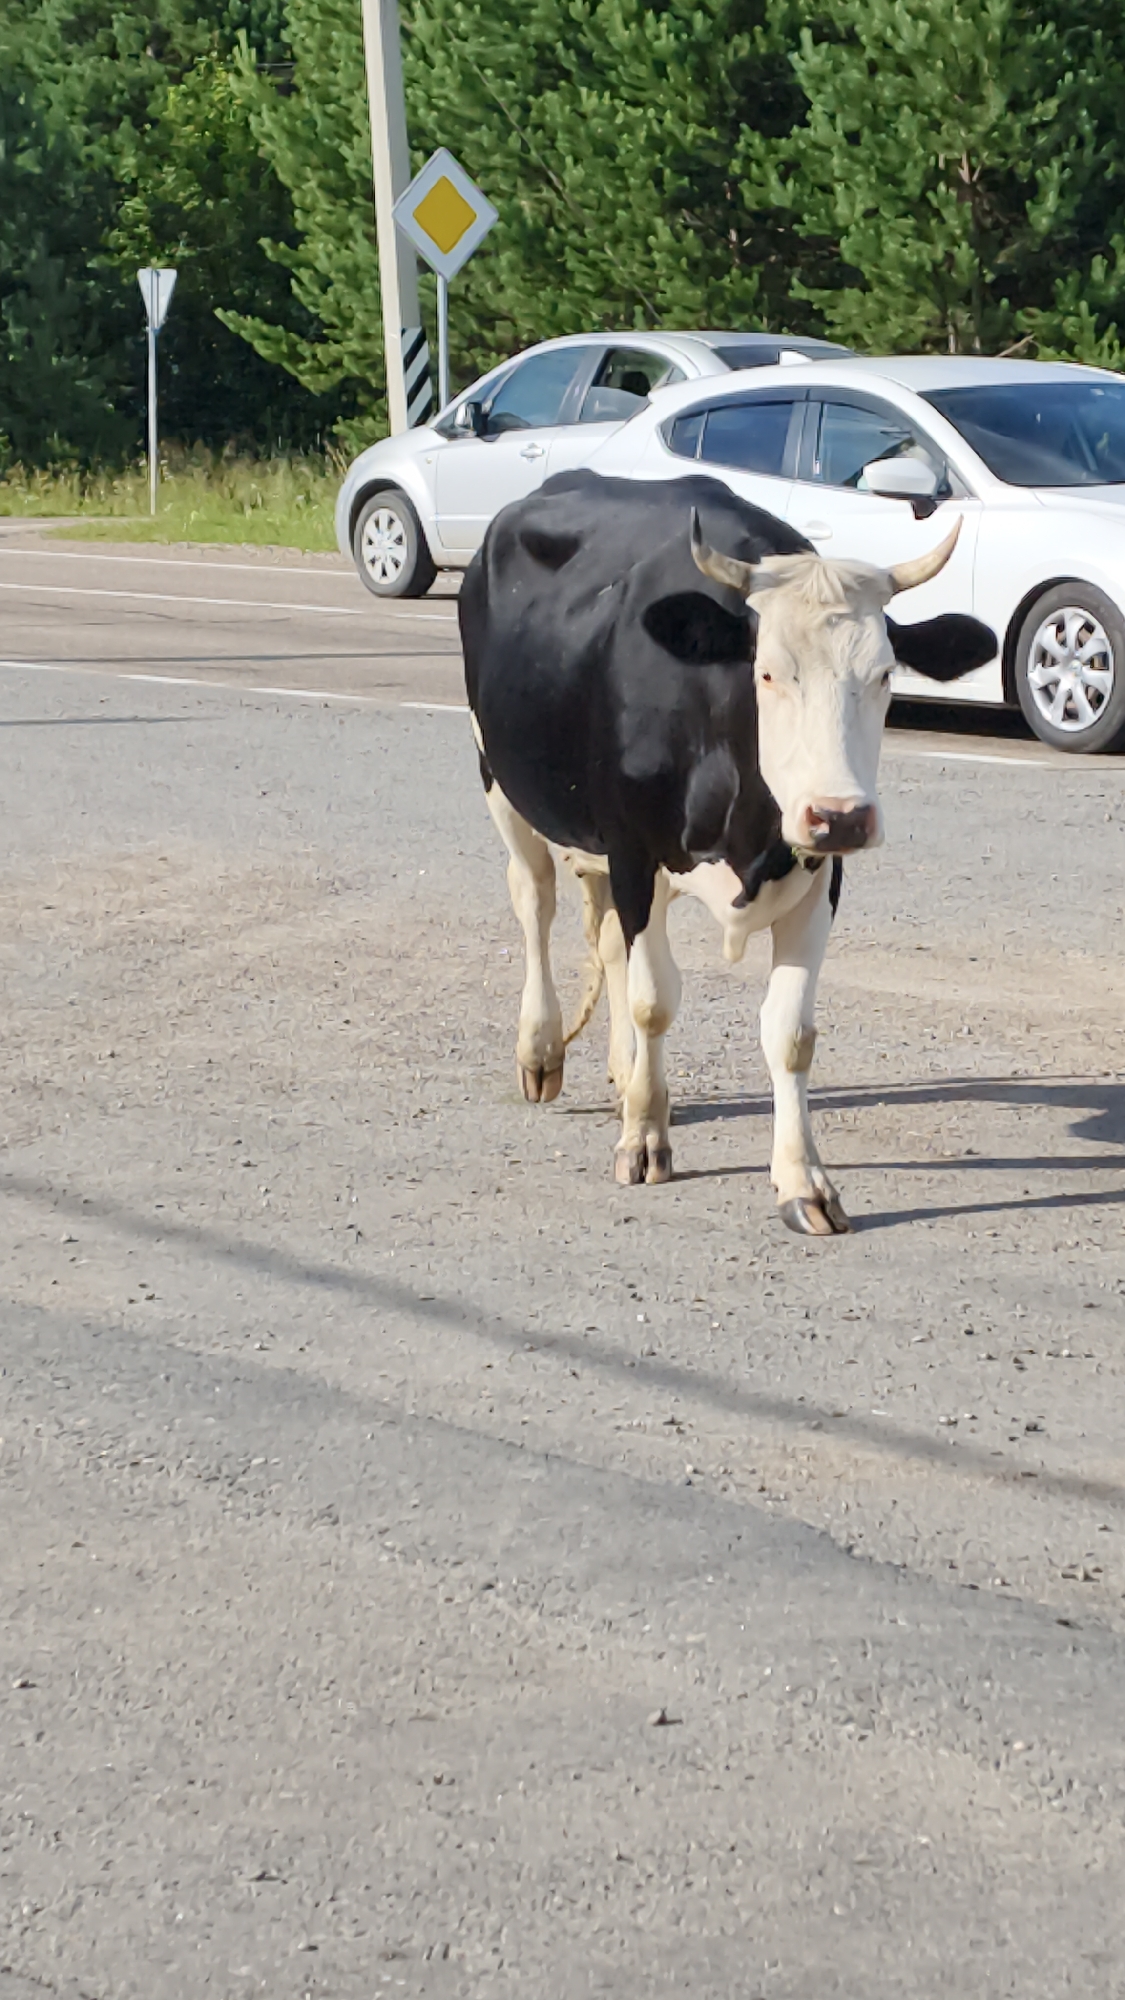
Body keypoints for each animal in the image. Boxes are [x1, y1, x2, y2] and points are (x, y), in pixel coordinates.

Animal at [460, 470, 995, 1235]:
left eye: (885, 674)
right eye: (767, 673)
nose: (841, 815)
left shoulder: (818, 880)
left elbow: (790, 1032)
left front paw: (802, 1181)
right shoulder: (634, 852)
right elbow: (654, 1001)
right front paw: (643, 1140)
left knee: (609, 944)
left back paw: (624, 1074)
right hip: (501, 780)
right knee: (534, 898)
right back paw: (541, 1051)